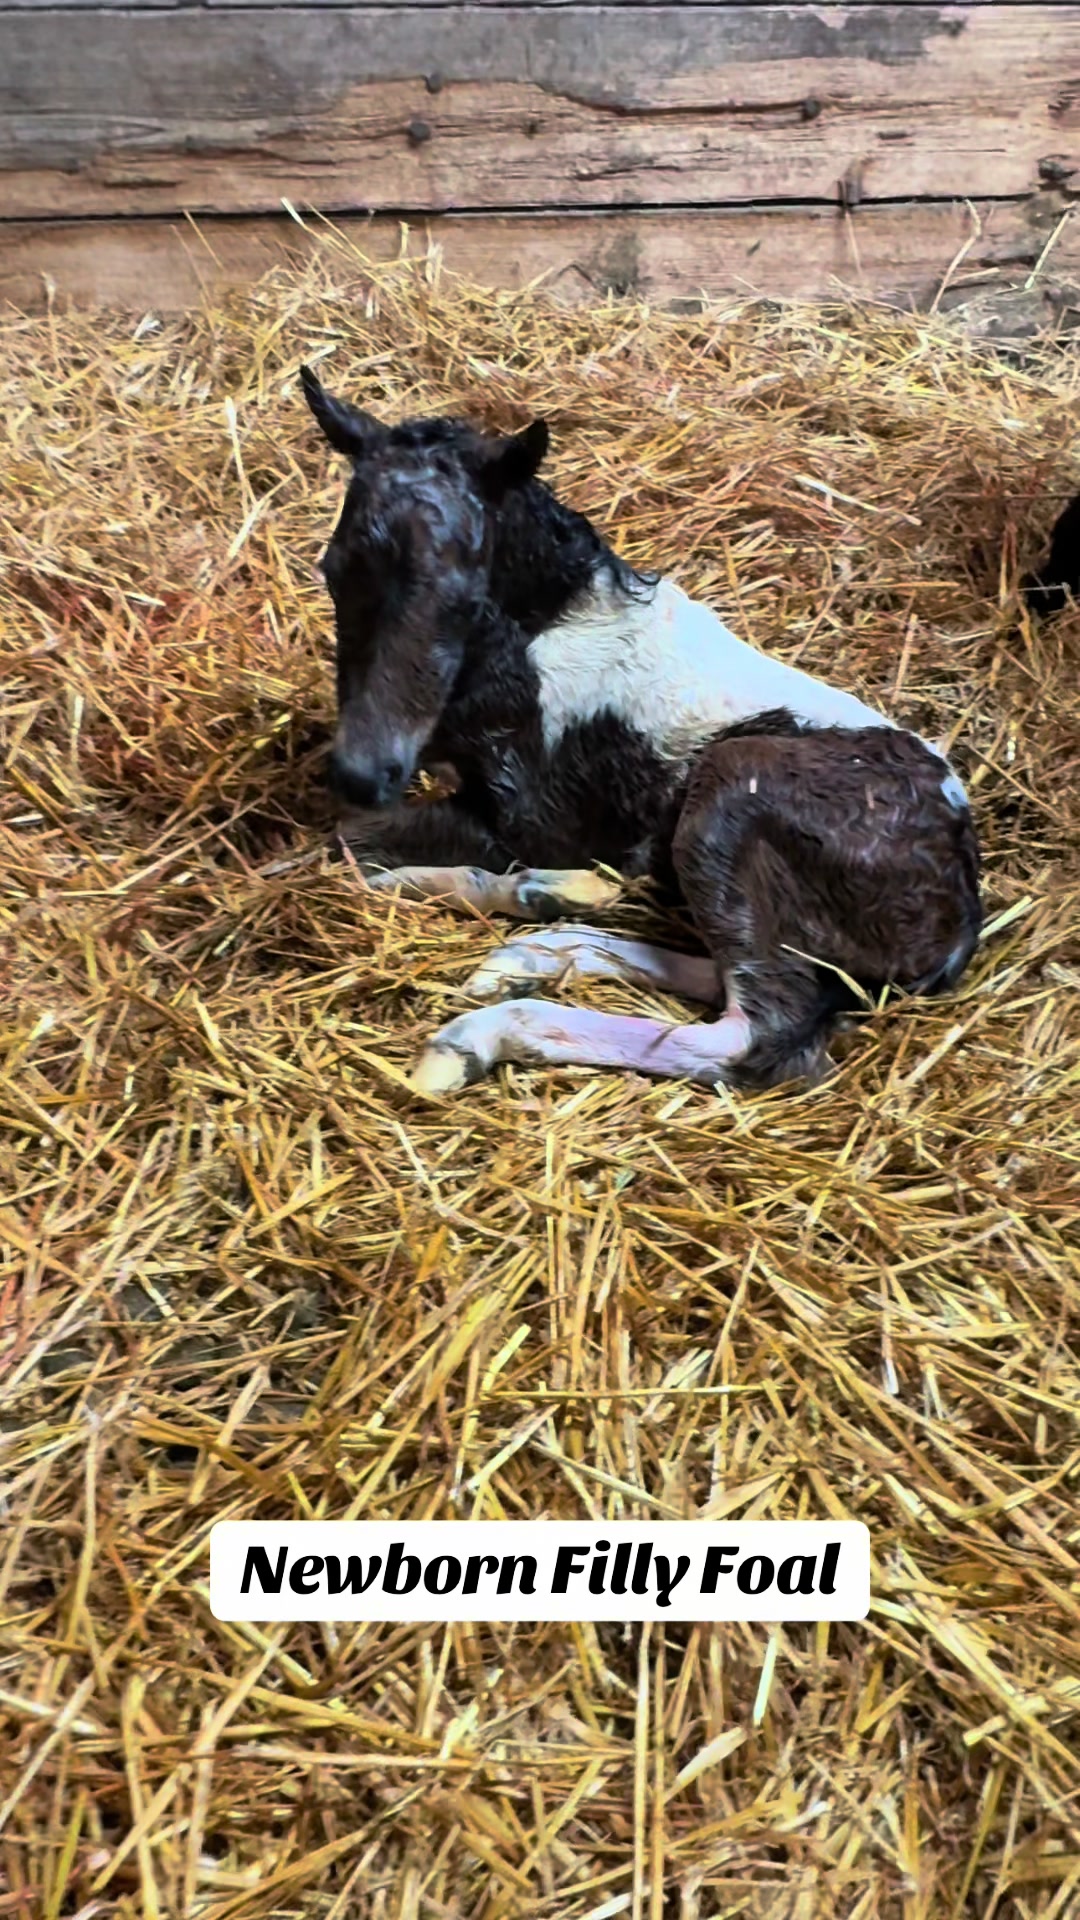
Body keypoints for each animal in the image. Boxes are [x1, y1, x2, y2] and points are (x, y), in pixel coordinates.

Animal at [299, 364, 982, 1098]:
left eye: (463, 596)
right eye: (333, 570)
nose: (362, 772)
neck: (548, 630)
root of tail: (959, 919)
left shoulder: (533, 821)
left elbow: (348, 845)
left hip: (731, 794)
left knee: (759, 1035)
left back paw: (480, 1030)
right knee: (736, 975)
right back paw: (539, 941)